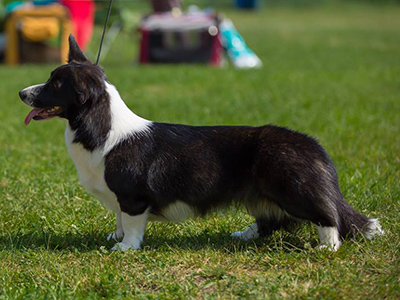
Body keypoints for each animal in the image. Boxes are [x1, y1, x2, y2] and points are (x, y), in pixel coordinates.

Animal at [19, 34, 384, 251]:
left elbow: (133, 225)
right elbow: (119, 221)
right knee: (272, 220)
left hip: (294, 190)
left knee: (328, 216)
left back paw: (327, 247)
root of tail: (313, 147)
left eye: (56, 83)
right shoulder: (119, 199)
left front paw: (124, 249)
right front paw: (116, 237)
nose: (21, 93)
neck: (102, 130)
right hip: (262, 196)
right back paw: (244, 235)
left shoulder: (133, 198)